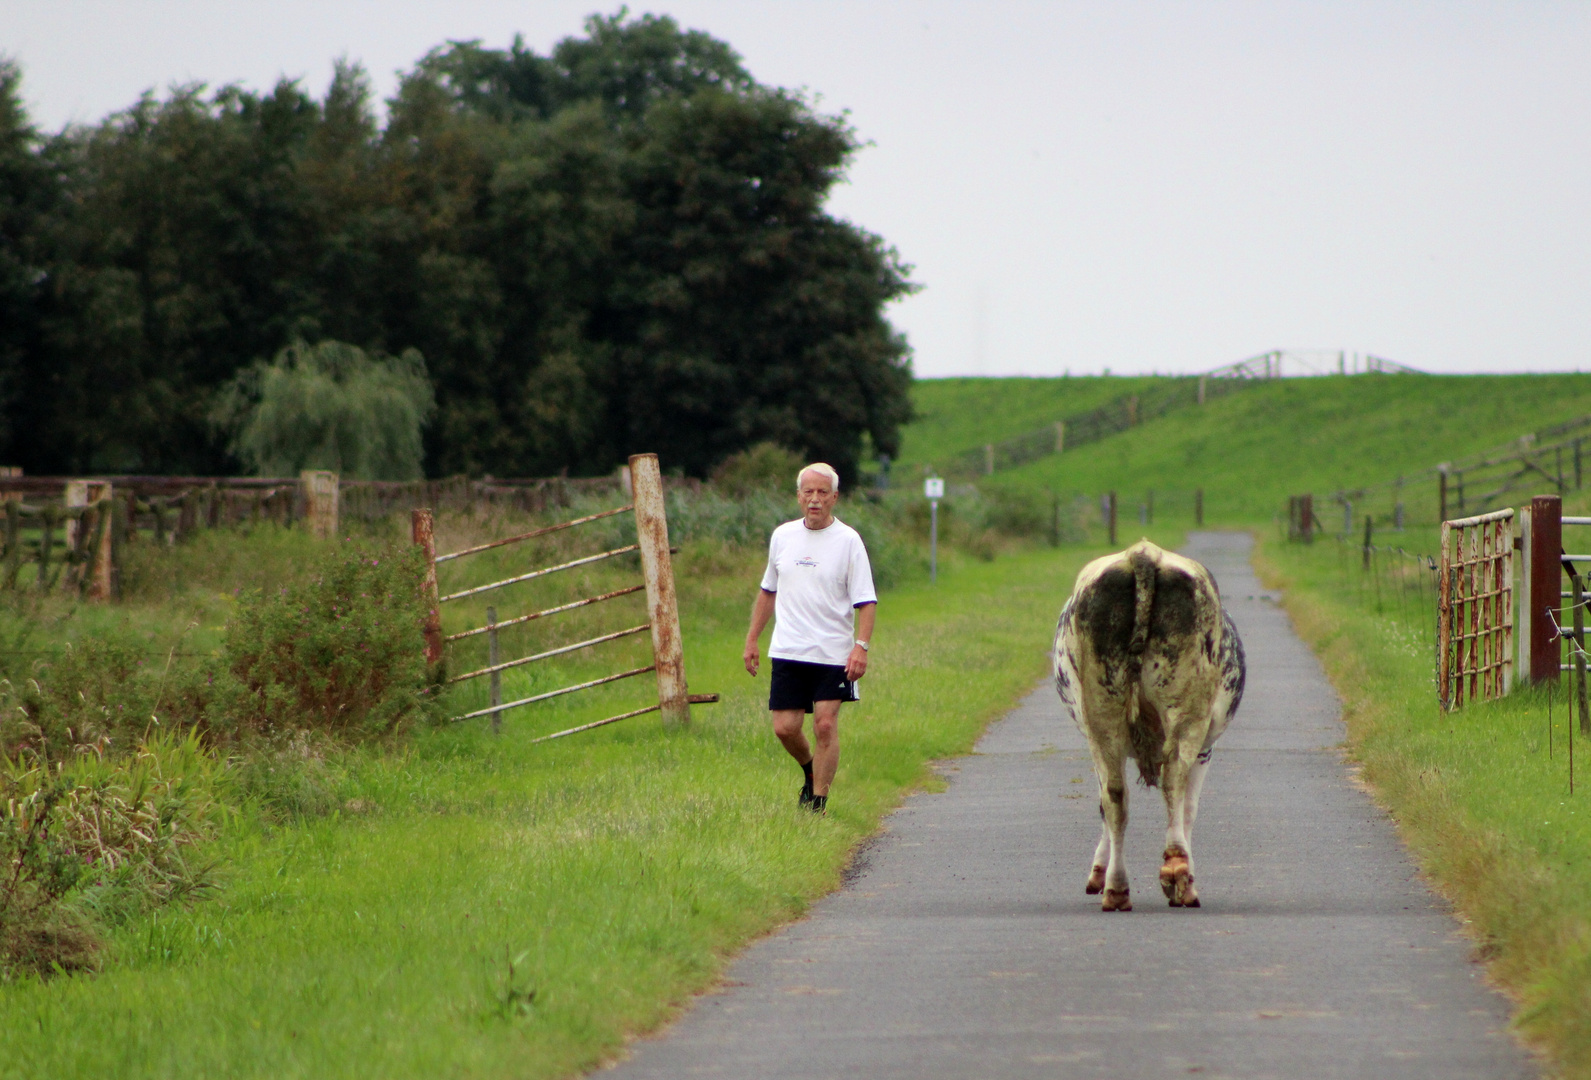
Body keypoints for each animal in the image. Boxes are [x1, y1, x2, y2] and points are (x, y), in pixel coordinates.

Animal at [1050, 540, 1247, 909]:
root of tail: (1143, 553)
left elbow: (1105, 803)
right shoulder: (1207, 747)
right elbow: (1189, 807)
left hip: (1103, 713)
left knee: (1115, 795)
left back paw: (1116, 888)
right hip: (1187, 715)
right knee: (1173, 782)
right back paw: (1178, 874)